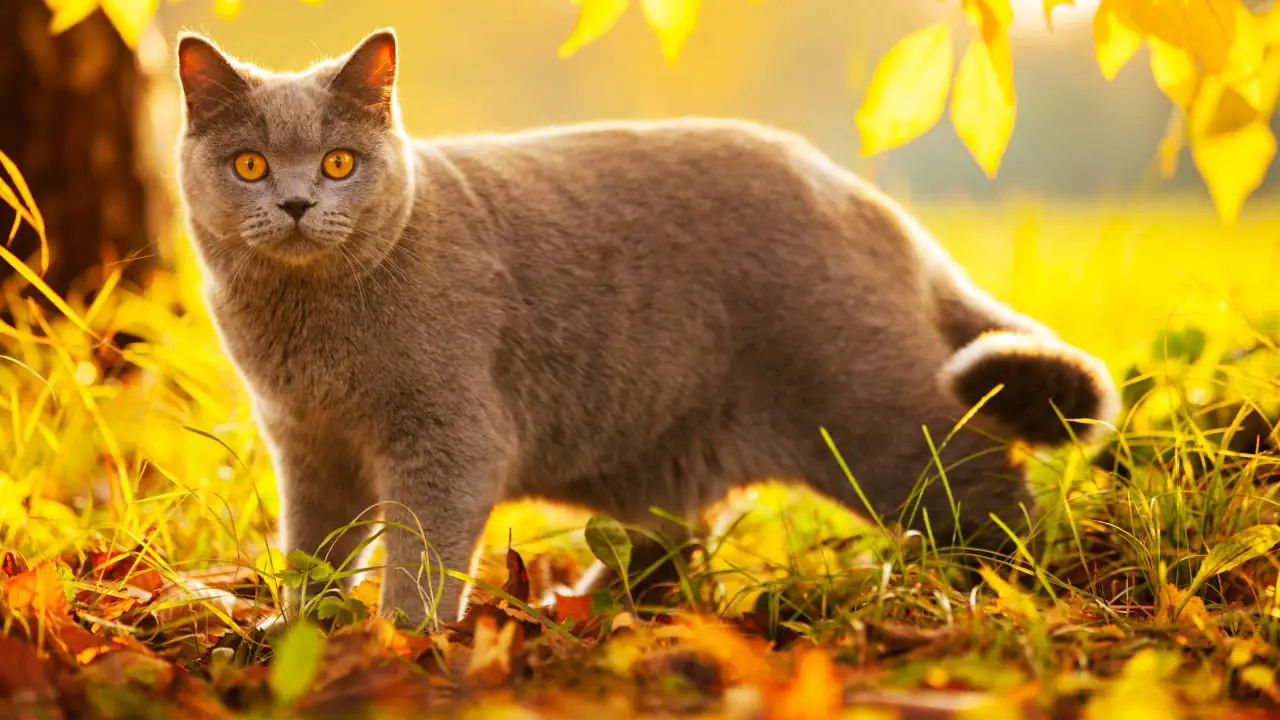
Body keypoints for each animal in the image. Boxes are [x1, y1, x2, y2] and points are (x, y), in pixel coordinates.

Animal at [172, 28, 1121, 622]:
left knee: (992, 487)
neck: (307, 332)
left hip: (877, 422)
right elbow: (315, 549)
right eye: (249, 166)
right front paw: (301, 627)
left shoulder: (445, 434)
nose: (297, 203)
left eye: (340, 163)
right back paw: (584, 604)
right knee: (678, 539)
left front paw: (401, 640)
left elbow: (420, 554)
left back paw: (1013, 589)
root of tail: (872, 204)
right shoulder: (307, 445)